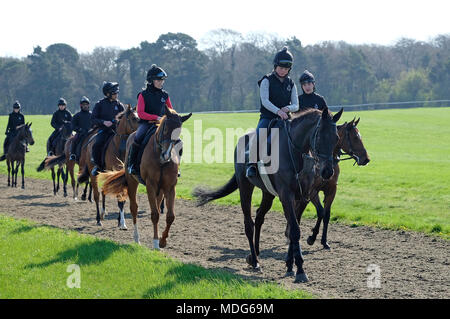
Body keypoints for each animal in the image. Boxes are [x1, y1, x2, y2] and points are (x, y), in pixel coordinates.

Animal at [100, 106, 192, 251]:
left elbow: (170, 216)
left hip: (160, 190)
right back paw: (136, 239)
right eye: (165, 128)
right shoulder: (150, 185)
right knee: (134, 208)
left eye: (178, 132)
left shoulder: (170, 187)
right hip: (132, 182)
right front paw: (155, 243)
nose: (166, 155)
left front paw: (162, 241)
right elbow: (154, 215)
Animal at [192, 108, 342, 284]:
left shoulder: (303, 197)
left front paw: (290, 265)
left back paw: (254, 255)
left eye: (336, 137)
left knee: (259, 217)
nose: (328, 171)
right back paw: (255, 262)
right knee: (249, 224)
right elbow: (294, 231)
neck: (295, 154)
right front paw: (300, 270)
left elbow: (293, 229)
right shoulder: (286, 196)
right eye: (319, 137)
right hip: (245, 187)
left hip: (268, 193)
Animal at [284, 117, 370, 250]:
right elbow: (321, 212)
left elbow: (327, 215)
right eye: (355, 137)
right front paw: (312, 238)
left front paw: (324, 241)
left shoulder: (331, 190)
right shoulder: (312, 192)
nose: (366, 159)